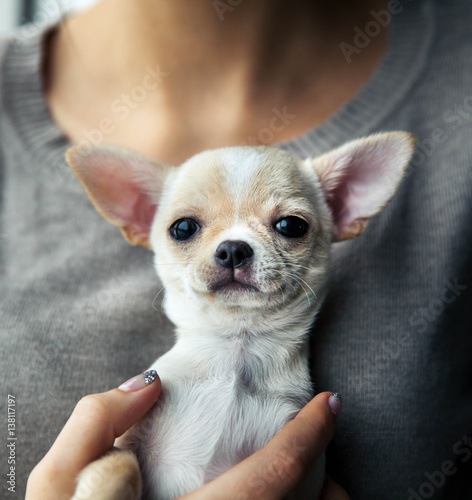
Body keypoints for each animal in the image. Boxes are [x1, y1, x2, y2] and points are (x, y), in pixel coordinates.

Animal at [68, 134, 414, 500]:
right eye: (183, 228)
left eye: (292, 225)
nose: (233, 248)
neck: (236, 351)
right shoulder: (129, 441)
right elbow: (119, 463)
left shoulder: (302, 474)